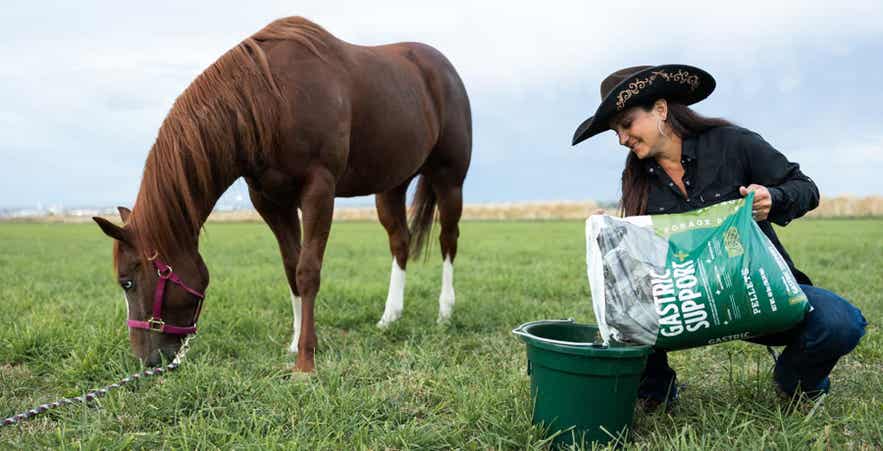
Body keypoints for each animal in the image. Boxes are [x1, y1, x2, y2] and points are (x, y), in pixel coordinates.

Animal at [92, 17, 472, 373]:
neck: (270, 99)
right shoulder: (270, 200)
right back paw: (390, 317)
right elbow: (291, 268)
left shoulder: (319, 189)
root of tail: (443, 69)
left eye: (127, 282)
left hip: (449, 179)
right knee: (400, 242)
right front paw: (294, 343)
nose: (146, 360)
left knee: (448, 239)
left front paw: (306, 360)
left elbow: (308, 271)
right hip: (391, 186)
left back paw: (445, 312)